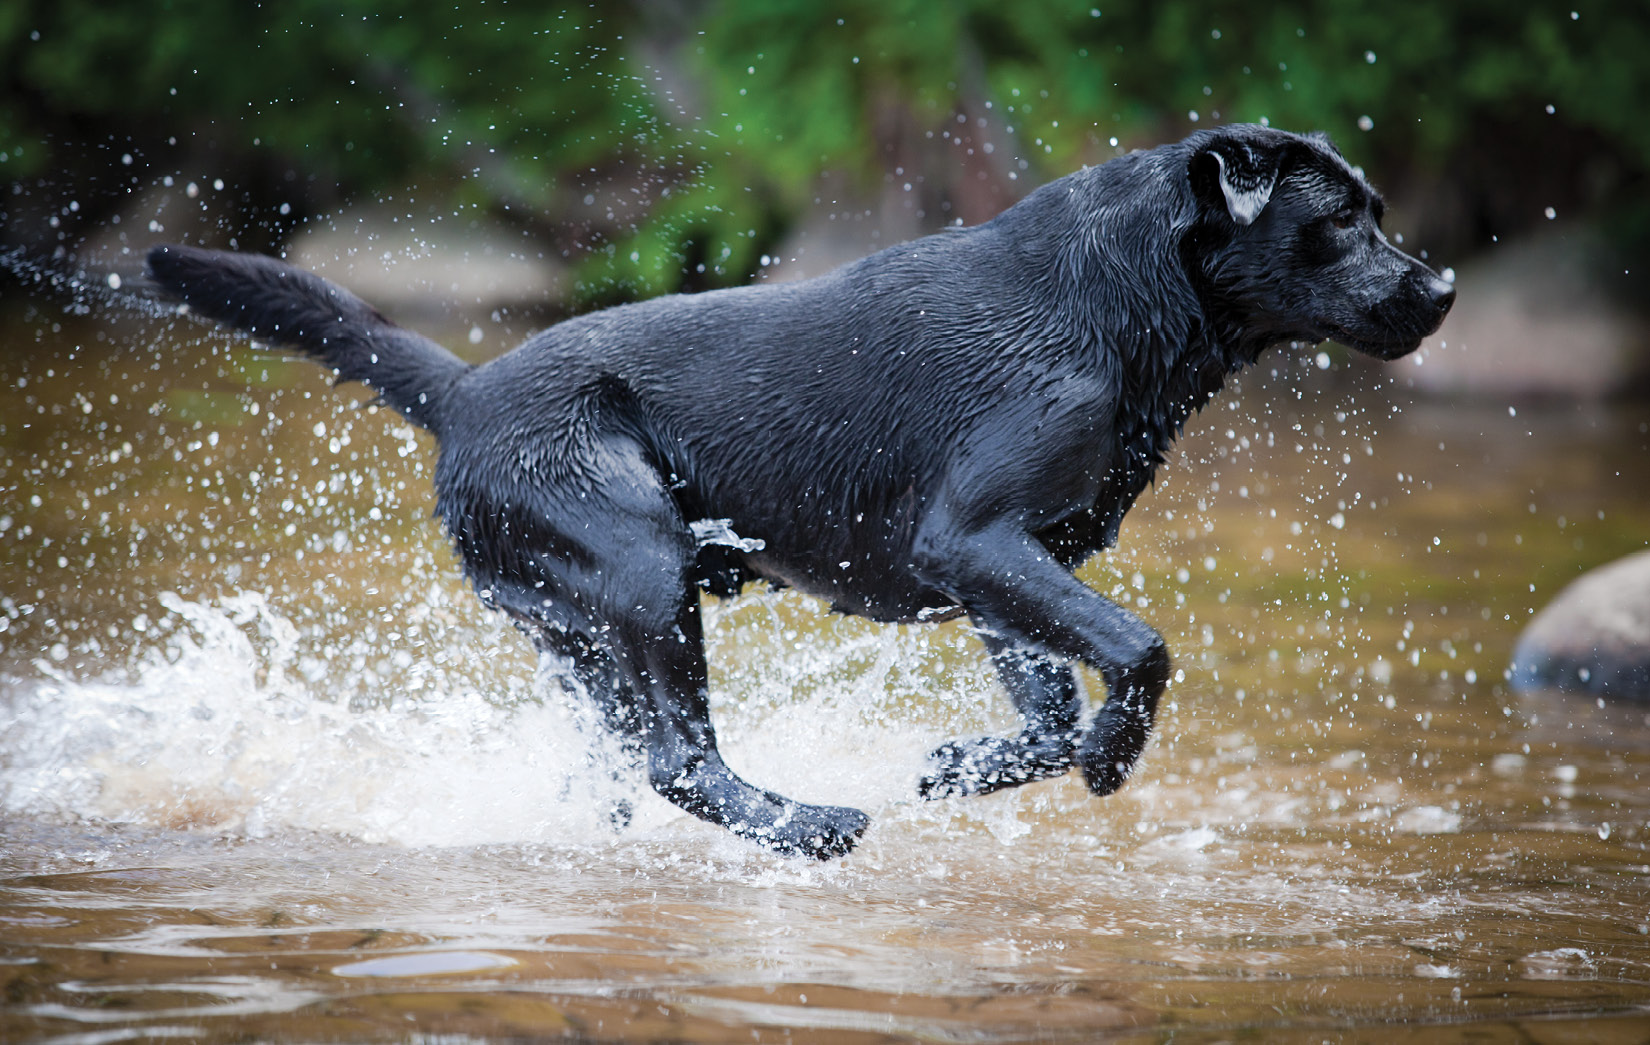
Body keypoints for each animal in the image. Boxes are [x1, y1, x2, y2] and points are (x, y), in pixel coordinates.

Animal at [148, 124, 1452, 858]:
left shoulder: (1002, 563)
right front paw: (1109, 764)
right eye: (1340, 221)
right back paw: (812, 826)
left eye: (1379, 212)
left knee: (625, 767)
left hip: (582, 636)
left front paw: (960, 767)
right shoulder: (978, 539)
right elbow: (1138, 650)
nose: (1439, 288)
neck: (1122, 293)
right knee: (680, 760)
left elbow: (1046, 708)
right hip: (640, 560)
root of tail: (465, 393)